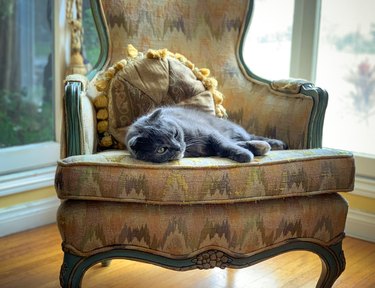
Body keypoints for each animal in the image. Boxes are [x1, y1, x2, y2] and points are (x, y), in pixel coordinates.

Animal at [126, 107, 288, 163]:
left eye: (175, 134)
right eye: (161, 149)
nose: (178, 148)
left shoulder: (210, 133)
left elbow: (223, 144)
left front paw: (244, 155)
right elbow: (224, 148)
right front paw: (244, 154)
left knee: (249, 137)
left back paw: (277, 144)